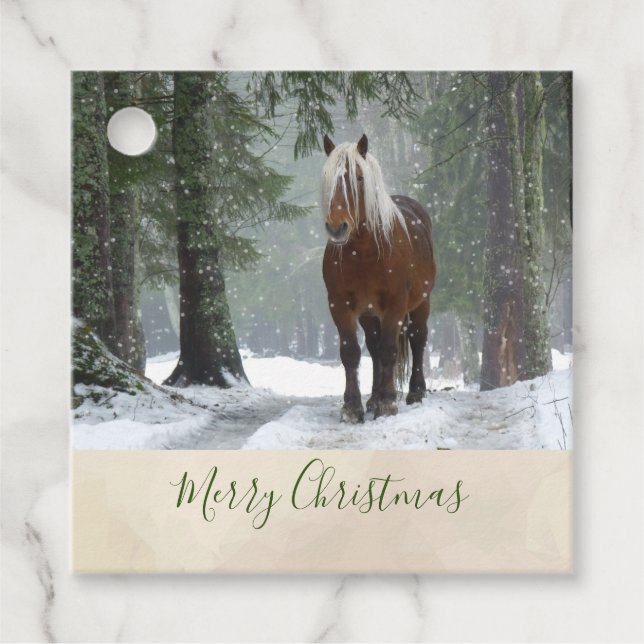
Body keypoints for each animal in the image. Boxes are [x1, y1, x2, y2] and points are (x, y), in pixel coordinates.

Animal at [321, 134, 436, 422]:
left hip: (421, 303)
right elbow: (351, 352)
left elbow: (389, 350)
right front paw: (353, 407)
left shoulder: (395, 305)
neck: (364, 251)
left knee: (417, 339)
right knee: (373, 348)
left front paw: (388, 403)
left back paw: (415, 392)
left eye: (359, 178)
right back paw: (372, 398)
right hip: (369, 313)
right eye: (328, 179)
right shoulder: (340, 305)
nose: (337, 227)